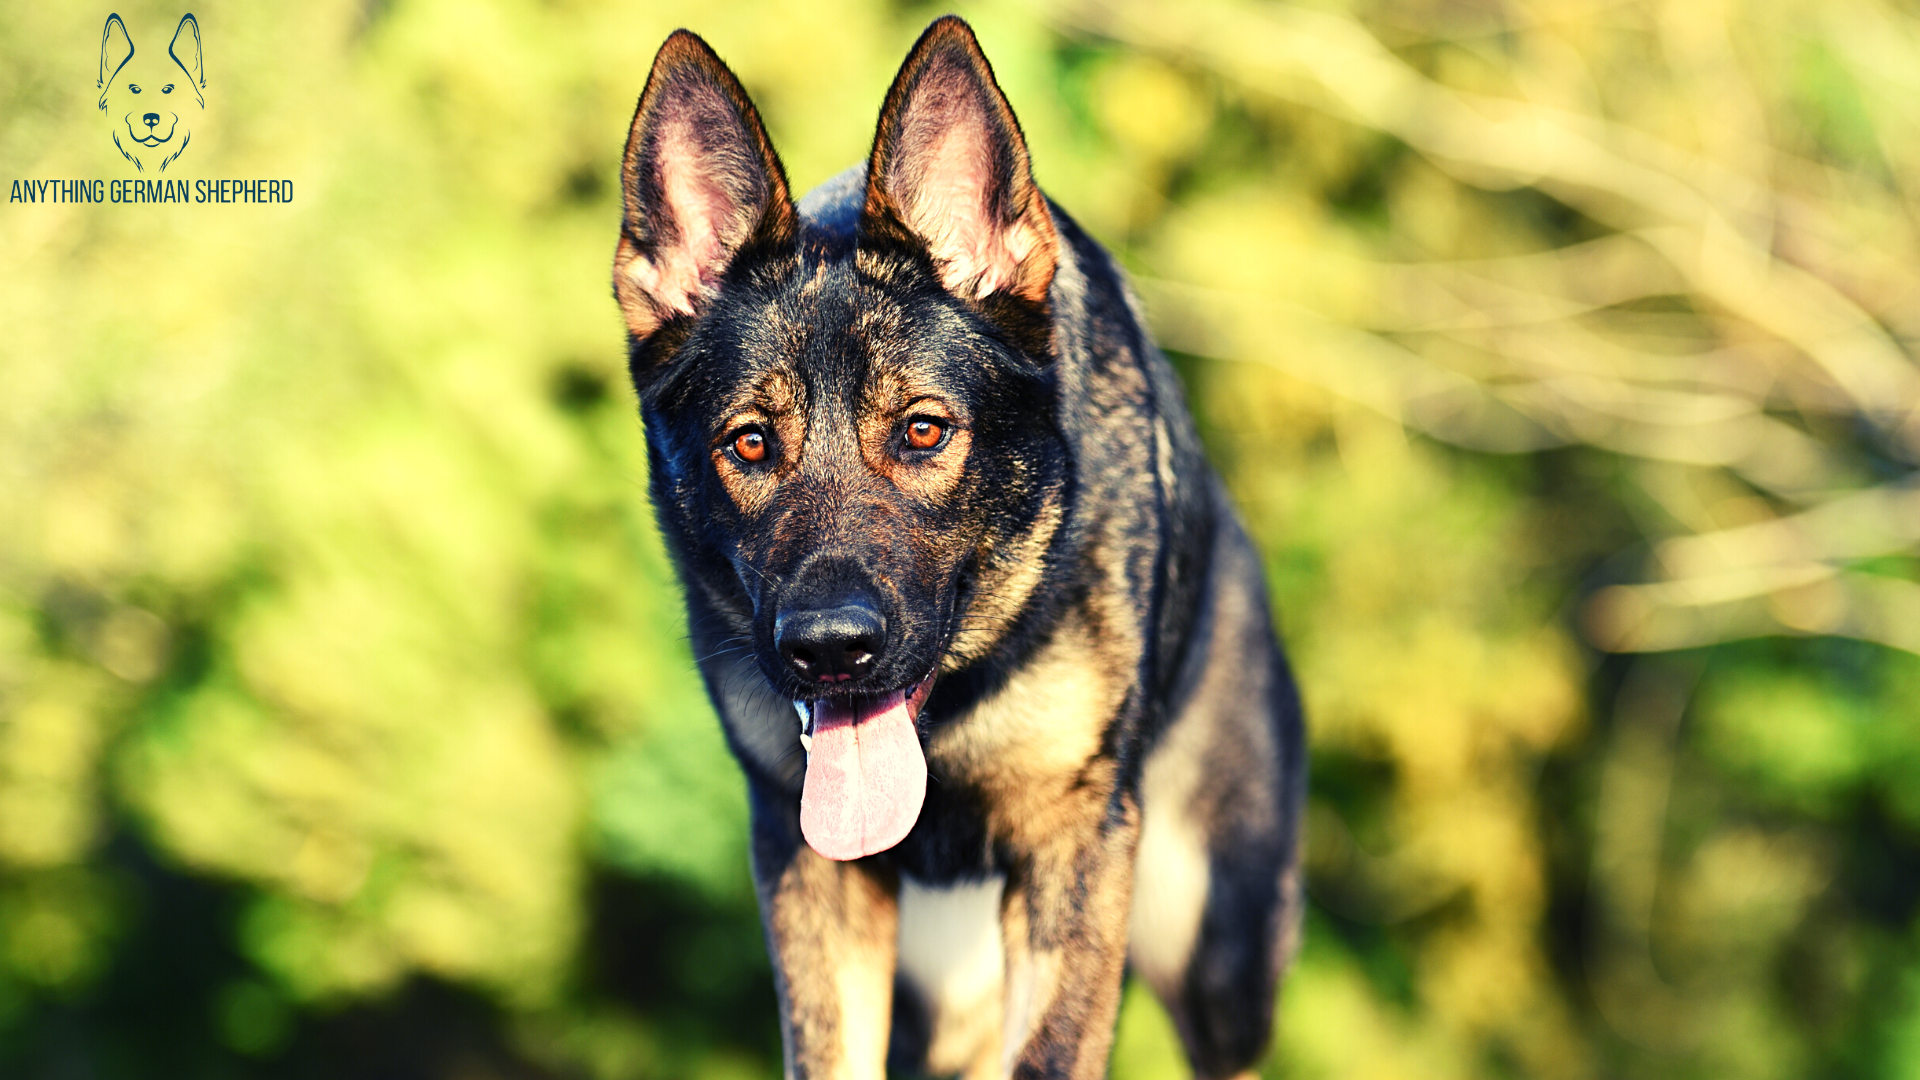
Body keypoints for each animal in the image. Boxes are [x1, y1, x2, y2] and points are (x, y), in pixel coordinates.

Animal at [610, 16, 1305, 1076]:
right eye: (750, 443)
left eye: (924, 432)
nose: (829, 650)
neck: (949, 722)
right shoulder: (812, 867)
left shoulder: (1074, 850)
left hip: (1212, 949)